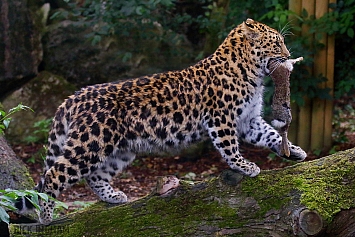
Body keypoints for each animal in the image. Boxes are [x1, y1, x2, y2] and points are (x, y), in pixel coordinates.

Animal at [16, 18, 308, 224]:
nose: (288, 54)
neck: (251, 72)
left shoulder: (248, 121)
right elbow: (229, 147)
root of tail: (75, 96)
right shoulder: (221, 118)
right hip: (90, 144)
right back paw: (46, 216)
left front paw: (294, 151)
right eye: (277, 43)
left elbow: (270, 134)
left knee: (95, 176)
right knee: (54, 175)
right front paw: (245, 166)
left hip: (121, 150)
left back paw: (113, 197)